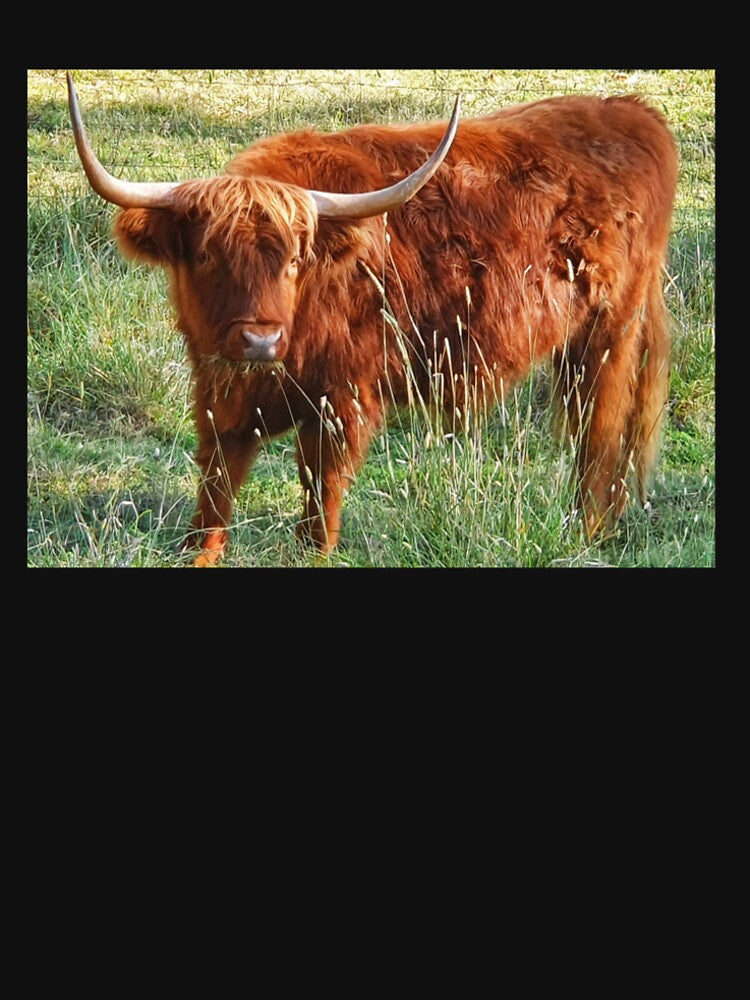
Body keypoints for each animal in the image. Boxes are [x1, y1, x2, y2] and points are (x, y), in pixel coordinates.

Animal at [66, 72, 678, 565]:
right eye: (209, 256)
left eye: (294, 261)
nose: (260, 340)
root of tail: (632, 110)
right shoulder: (220, 396)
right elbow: (215, 490)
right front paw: (201, 549)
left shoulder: (342, 399)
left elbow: (320, 495)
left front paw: (313, 550)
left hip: (609, 335)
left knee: (600, 434)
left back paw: (589, 532)